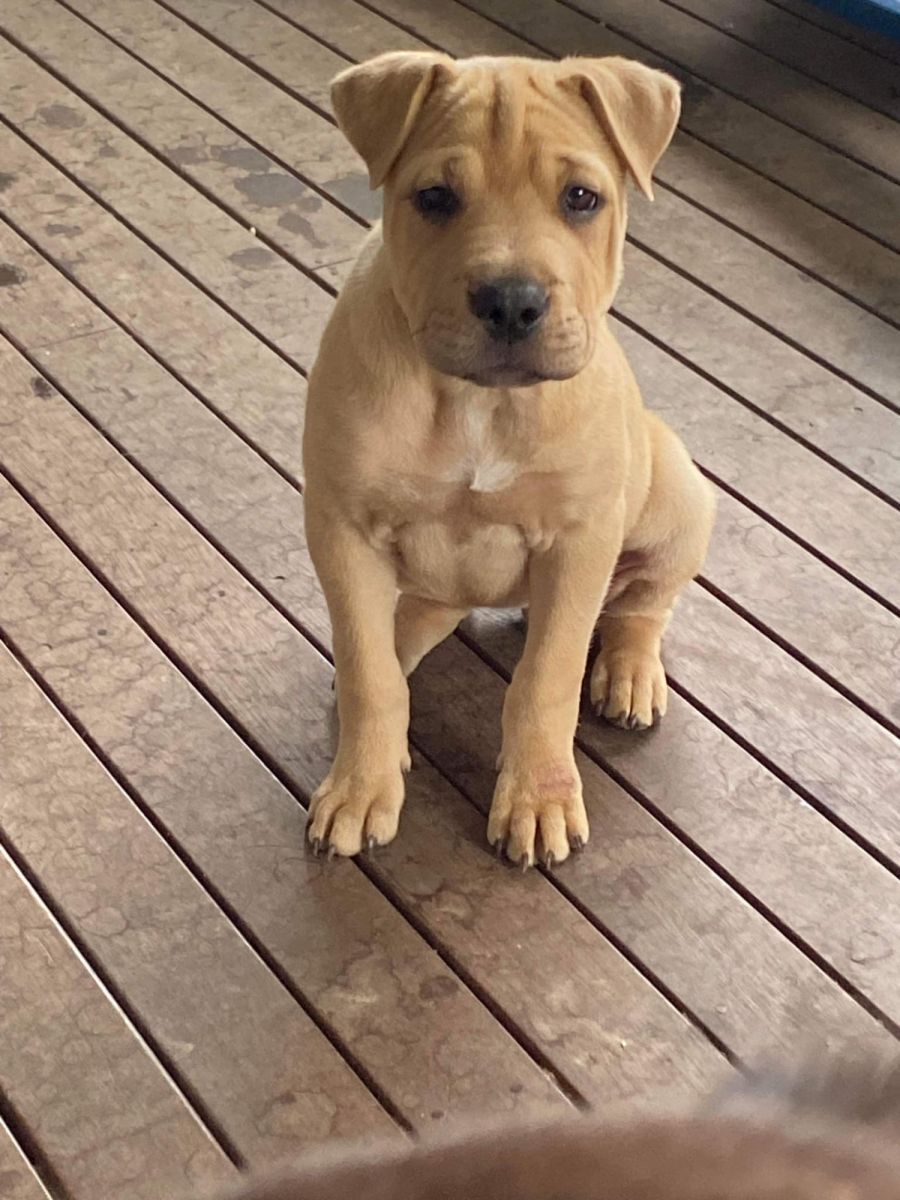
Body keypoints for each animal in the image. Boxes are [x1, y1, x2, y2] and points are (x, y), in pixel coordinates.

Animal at [303, 52, 715, 865]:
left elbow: (545, 680)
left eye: (582, 198)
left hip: (679, 496)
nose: (511, 302)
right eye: (434, 198)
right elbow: (369, 673)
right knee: (413, 625)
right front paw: (362, 784)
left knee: (643, 603)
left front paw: (539, 797)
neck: (477, 403)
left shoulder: (580, 542)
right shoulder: (342, 529)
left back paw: (628, 672)